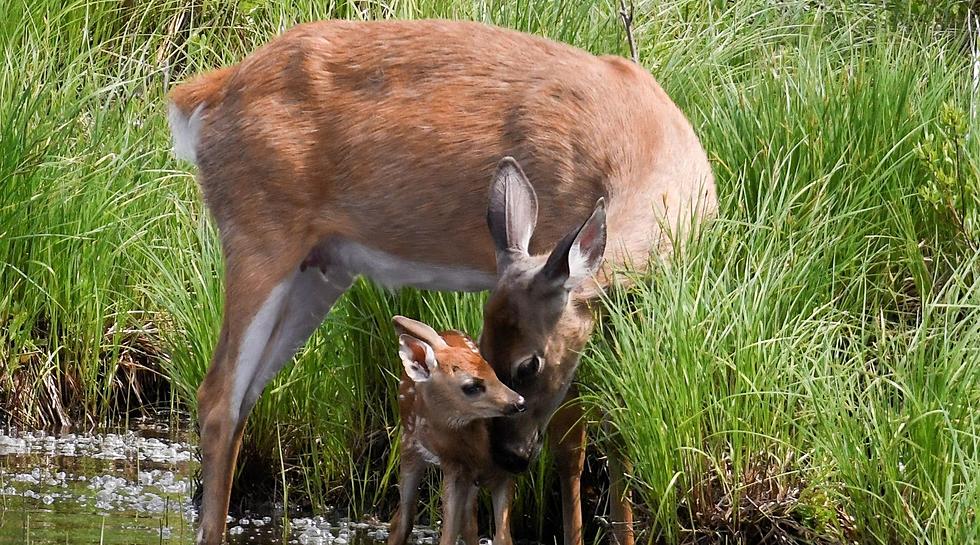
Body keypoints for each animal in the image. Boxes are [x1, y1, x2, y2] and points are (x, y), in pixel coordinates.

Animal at [168, 17, 716, 544]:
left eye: (525, 364)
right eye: (494, 354)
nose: (509, 457)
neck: (654, 151)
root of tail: (203, 95)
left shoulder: (619, 308)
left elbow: (619, 437)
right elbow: (571, 445)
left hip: (319, 269)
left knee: (243, 398)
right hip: (259, 235)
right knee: (217, 397)